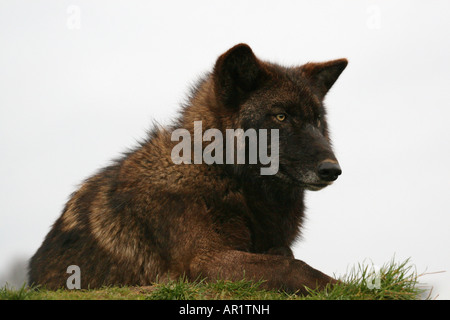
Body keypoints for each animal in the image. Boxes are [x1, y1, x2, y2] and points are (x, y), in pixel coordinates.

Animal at [28, 43, 348, 294]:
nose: (332, 170)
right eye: (281, 116)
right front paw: (344, 287)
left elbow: (285, 254)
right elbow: (291, 266)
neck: (221, 172)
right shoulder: (203, 262)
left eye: (317, 120)